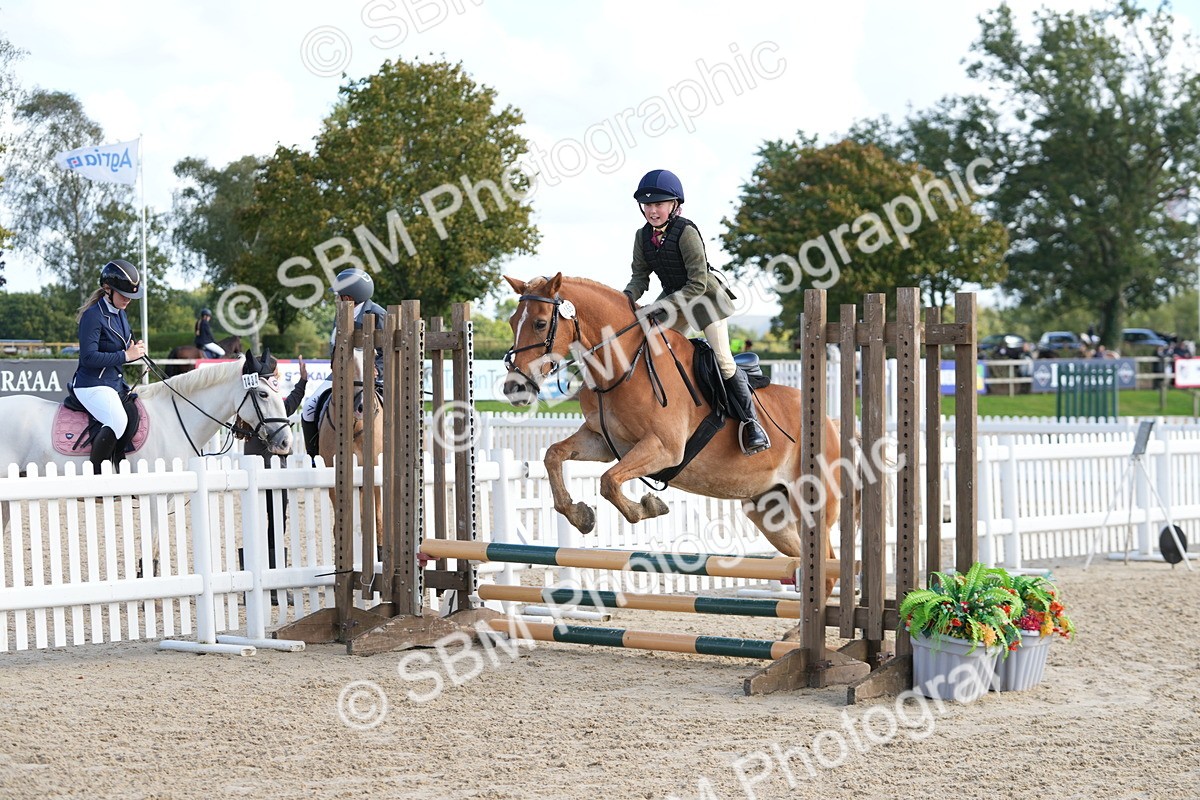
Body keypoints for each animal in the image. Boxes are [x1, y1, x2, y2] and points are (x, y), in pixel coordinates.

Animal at [502, 274, 846, 597]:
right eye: (511, 321)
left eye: (540, 323)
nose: (513, 389)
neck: (623, 365)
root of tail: (830, 423)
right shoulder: (602, 442)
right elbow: (554, 455)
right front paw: (580, 515)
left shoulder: (664, 448)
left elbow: (609, 481)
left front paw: (648, 507)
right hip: (770, 512)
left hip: (813, 504)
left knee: (829, 566)